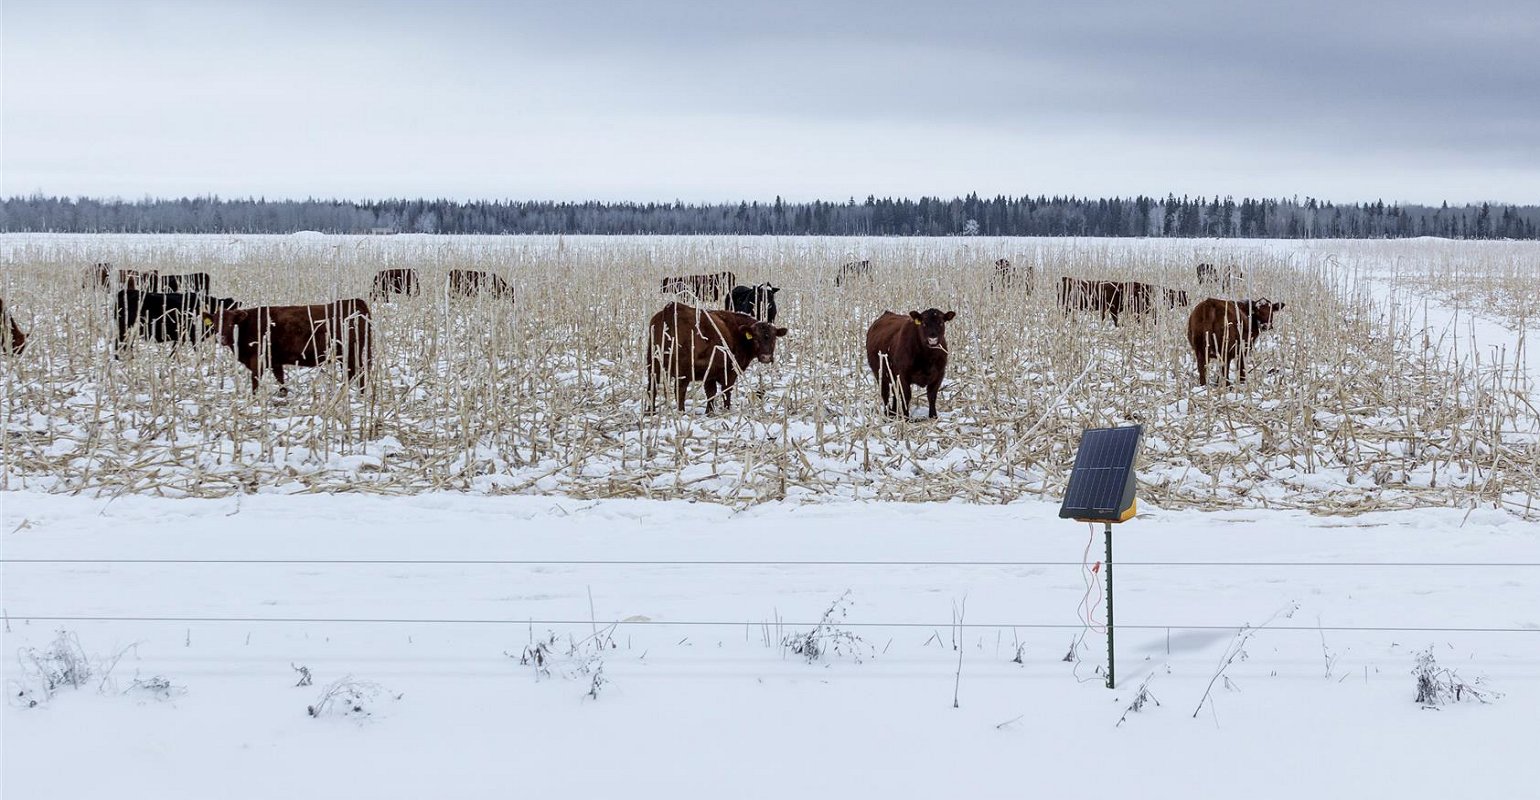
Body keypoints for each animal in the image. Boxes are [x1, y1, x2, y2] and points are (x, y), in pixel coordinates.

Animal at [212, 299, 374, 394]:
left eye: (231, 324)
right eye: (215, 324)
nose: (221, 339)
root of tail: (354, 301)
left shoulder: (257, 359)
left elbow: (255, 380)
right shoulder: (275, 360)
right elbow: (280, 377)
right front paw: (283, 393)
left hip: (352, 354)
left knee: (358, 373)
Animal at [646, 300, 788, 413]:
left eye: (774, 339)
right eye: (756, 339)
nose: (766, 357)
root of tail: (671, 308)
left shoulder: (710, 372)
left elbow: (711, 393)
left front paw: (709, 412)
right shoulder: (729, 371)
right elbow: (726, 391)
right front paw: (726, 410)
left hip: (653, 364)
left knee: (651, 388)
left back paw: (650, 411)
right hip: (682, 370)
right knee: (680, 391)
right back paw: (681, 412)